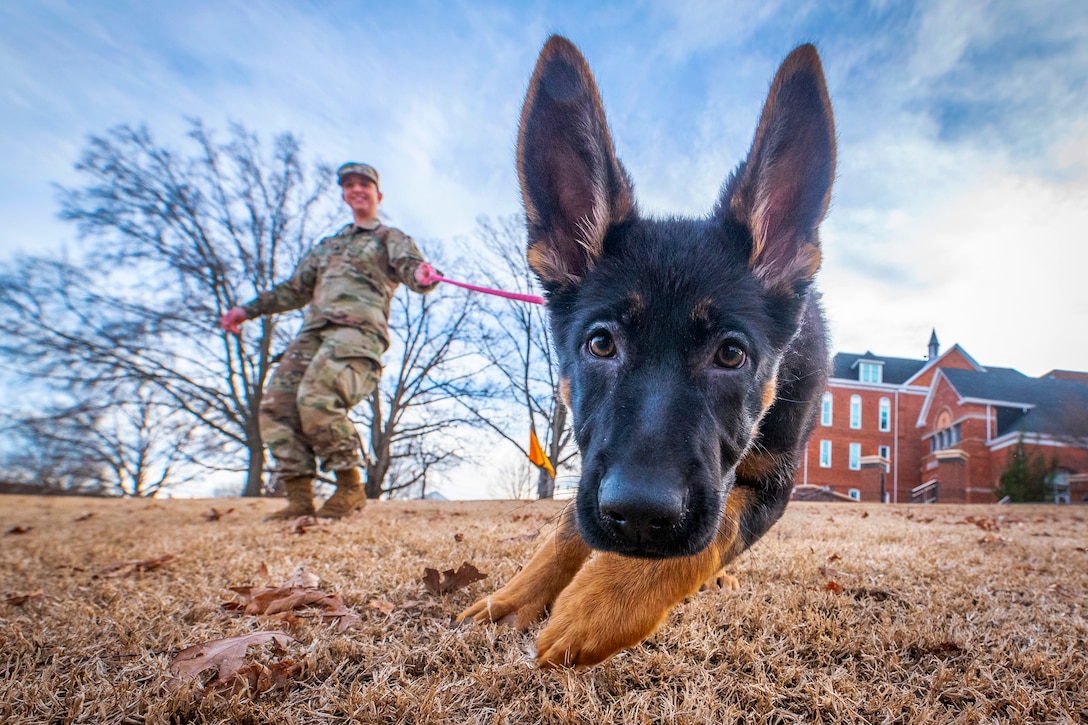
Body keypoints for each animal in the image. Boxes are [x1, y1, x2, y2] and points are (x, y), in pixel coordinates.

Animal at [459, 36, 831, 661]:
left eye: (732, 355)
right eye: (600, 343)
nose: (635, 518)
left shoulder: (773, 483)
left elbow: (717, 529)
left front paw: (601, 605)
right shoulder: (594, 465)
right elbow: (565, 527)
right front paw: (513, 599)